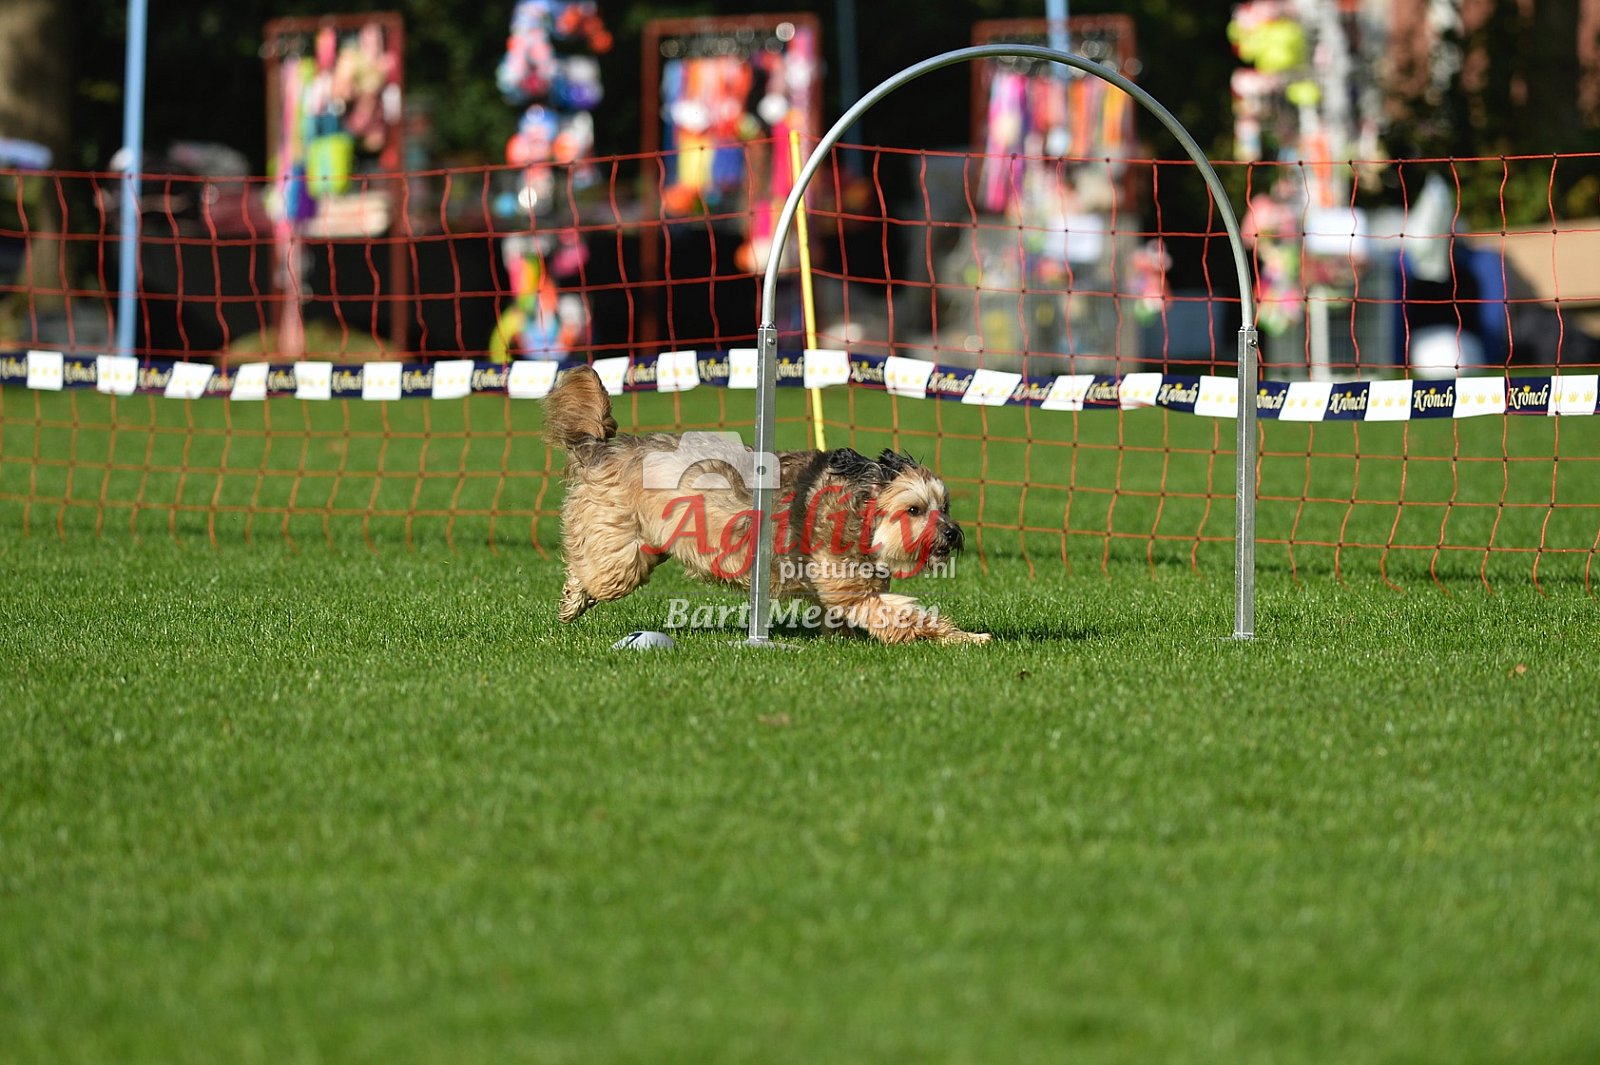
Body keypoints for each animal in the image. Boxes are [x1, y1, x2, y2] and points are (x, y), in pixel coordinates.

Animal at [545, 365, 990, 645]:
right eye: (914, 510)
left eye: (945, 505)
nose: (953, 533)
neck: (859, 510)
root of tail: (602, 447)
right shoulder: (855, 593)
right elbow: (913, 617)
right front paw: (969, 637)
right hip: (620, 553)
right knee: (591, 571)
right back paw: (572, 601)